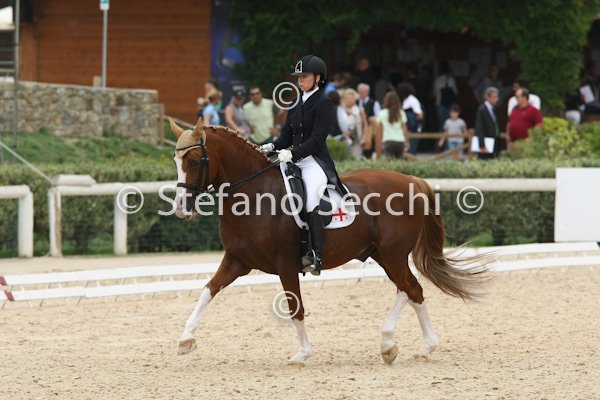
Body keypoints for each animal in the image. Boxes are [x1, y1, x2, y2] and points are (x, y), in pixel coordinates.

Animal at [169, 118, 487, 366]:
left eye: (194, 161)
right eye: (176, 161)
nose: (182, 209)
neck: (254, 194)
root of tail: (412, 180)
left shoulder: (285, 264)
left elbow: (295, 307)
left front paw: (302, 354)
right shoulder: (237, 261)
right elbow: (208, 290)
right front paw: (185, 339)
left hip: (393, 254)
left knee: (412, 289)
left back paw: (417, 346)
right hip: (382, 255)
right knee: (408, 290)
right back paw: (394, 346)